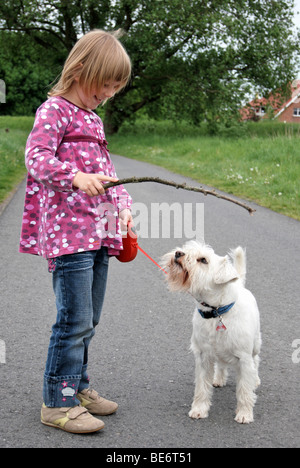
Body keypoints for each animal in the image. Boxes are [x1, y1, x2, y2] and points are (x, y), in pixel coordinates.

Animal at [161, 241, 262, 424]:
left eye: (203, 260)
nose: (178, 253)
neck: (216, 312)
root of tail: (240, 285)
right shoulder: (203, 356)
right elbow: (201, 387)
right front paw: (199, 410)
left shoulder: (244, 358)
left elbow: (244, 390)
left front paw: (245, 414)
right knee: (221, 364)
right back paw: (218, 379)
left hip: (256, 344)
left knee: (256, 360)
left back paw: (255, 380)